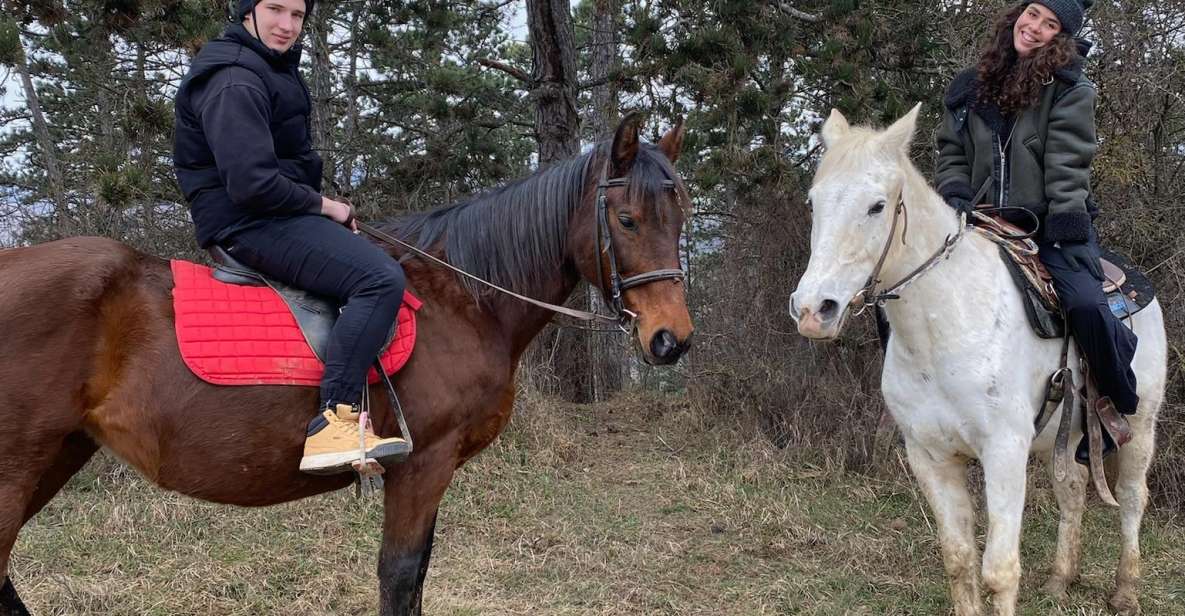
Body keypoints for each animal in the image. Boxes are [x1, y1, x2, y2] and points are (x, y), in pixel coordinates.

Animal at [0, 115, 692, 616]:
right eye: (626, 219)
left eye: (681, 216)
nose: (672, 340)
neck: (463, 297)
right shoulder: (422, 463)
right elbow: (400, 576)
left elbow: (417, 576)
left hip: (59, 452)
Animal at [786, 106, 1166, 616]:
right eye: (814, 203)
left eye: (877, 206)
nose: (813, 310)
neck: (944, 326)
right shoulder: (930, 457)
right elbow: (959, 560)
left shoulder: (1003, 451)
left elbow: (998, 572)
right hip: (1065, 436)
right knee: (1072, 490)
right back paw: (1060, 580)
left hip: (1139, 425)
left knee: (1130, 497)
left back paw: (1125, 590)